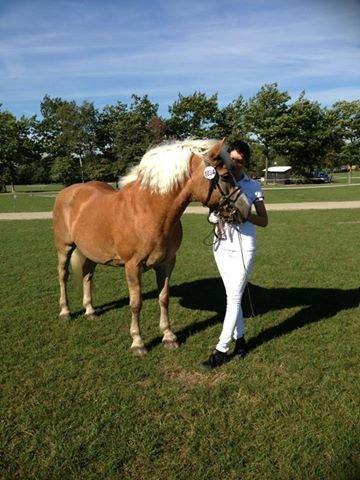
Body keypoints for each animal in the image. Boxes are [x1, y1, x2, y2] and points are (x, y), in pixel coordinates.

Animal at [52, 139, 250, 356]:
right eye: (226, 175)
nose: (246, 208)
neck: (150, 210)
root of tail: (68, 191)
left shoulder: (166, 263)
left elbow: (163, 298)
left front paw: (169, 336)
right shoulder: (132, 266)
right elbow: (135, 303)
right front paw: (138, 343)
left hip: (91, 253)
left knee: (87, 275)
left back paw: (90, 311)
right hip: (64, 248)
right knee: (63, 276)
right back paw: (65, 312)